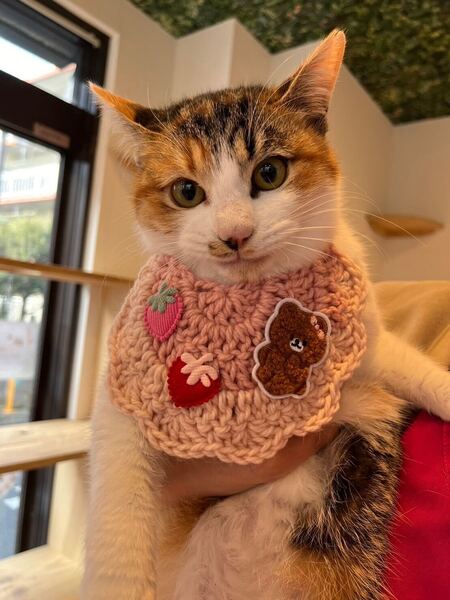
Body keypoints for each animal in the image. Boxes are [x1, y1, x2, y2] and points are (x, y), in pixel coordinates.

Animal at [82, 30, 450, 600]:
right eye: (186, 191)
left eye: (270, 173)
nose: (234, 234)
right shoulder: (127, 388)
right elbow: (119, 488)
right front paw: (118, 582)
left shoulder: (365, 344)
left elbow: (414, 368)